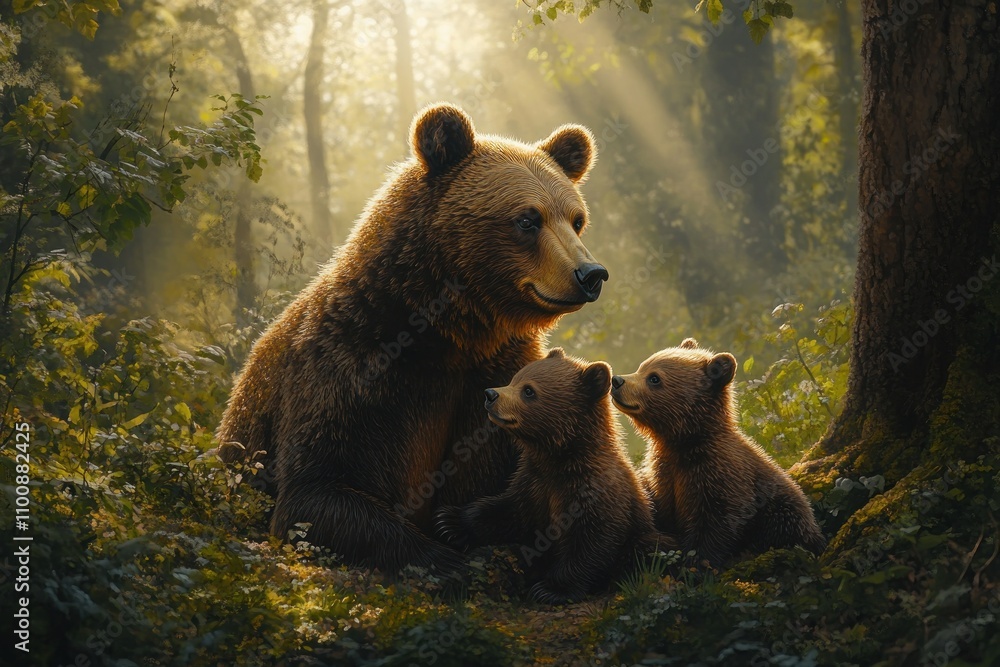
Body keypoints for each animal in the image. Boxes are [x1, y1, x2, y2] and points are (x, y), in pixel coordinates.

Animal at [216, 104, 609, 574]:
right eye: (528, 219)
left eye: (576, 220)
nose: (591, 274)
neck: (449, 334)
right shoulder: (348, 366)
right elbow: (314, 493)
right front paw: (446, 558)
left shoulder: (496, 374)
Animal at [435, 348, 672, 604]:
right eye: (515, 378)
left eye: (529, 390)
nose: (490, 394)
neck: (557, 459)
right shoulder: (533, 483)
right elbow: (507, 510)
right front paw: (449, 521)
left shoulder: (594, 493)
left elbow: (591, 541)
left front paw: (550, 589)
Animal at [610, 338, 826, 567]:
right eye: (642, 367)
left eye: (654, 378)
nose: (617, 381)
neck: (684, 442)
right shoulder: (663, 472)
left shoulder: (719, 475)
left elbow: (715, 524)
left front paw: (695, 562)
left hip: (783, 513)